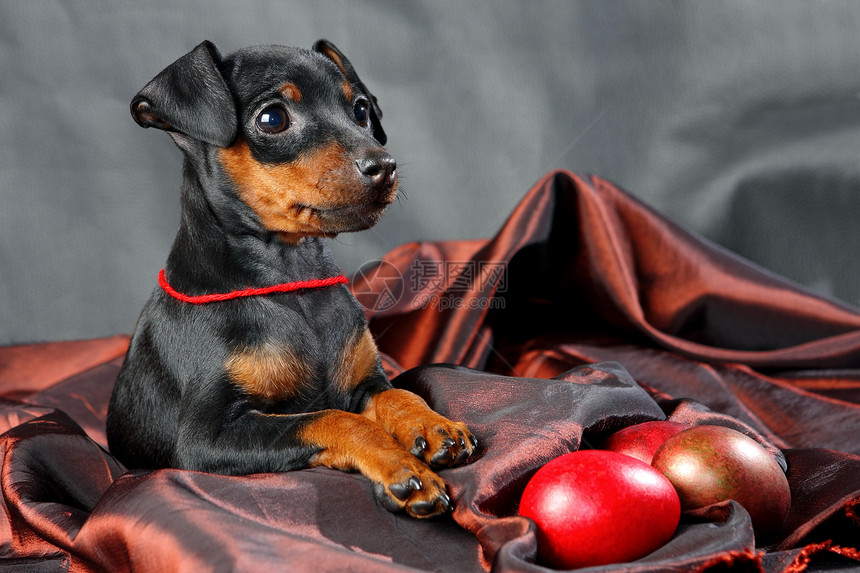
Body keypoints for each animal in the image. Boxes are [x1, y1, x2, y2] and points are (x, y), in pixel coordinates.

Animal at [107, 38, 478, 516]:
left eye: (360, 110)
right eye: (272, 119)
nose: (384, 165)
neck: (292, 279)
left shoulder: (365, 383)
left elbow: (398, 394)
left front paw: (434, 425)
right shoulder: (204, 440)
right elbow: (337, 419)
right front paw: (402, 468)